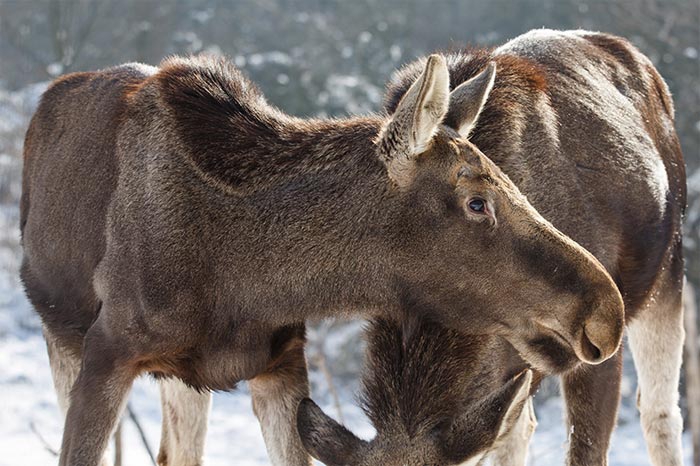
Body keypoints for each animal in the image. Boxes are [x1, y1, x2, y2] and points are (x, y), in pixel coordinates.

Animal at [21, 47, 624, 462]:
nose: (606, 310)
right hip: (60, 333)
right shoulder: (106, 352)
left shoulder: (282, 362)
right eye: (477, 201)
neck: (241, 283)